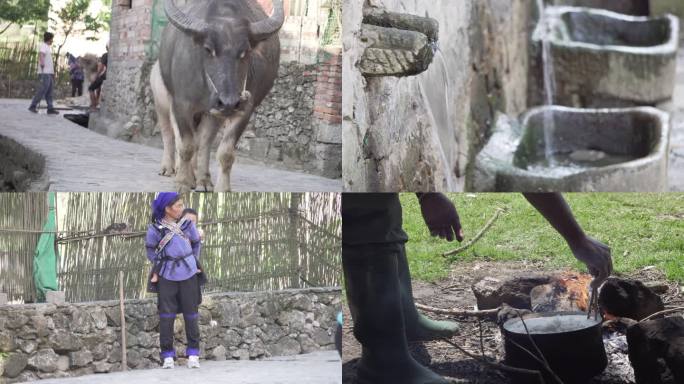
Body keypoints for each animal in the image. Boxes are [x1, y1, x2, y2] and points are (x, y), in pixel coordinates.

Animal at [152, 0, 284, 192]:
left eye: (245, 51)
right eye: (208, 49)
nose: (228, 102)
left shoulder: (244, 109)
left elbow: (225, 152)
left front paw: (222, 188)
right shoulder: (180, 104)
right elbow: (185, 145)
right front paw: (182, 182)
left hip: (213, 114)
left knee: (203, 143)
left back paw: (203, 180)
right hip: (161, 104)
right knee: (169, 135)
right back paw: (169, 168)